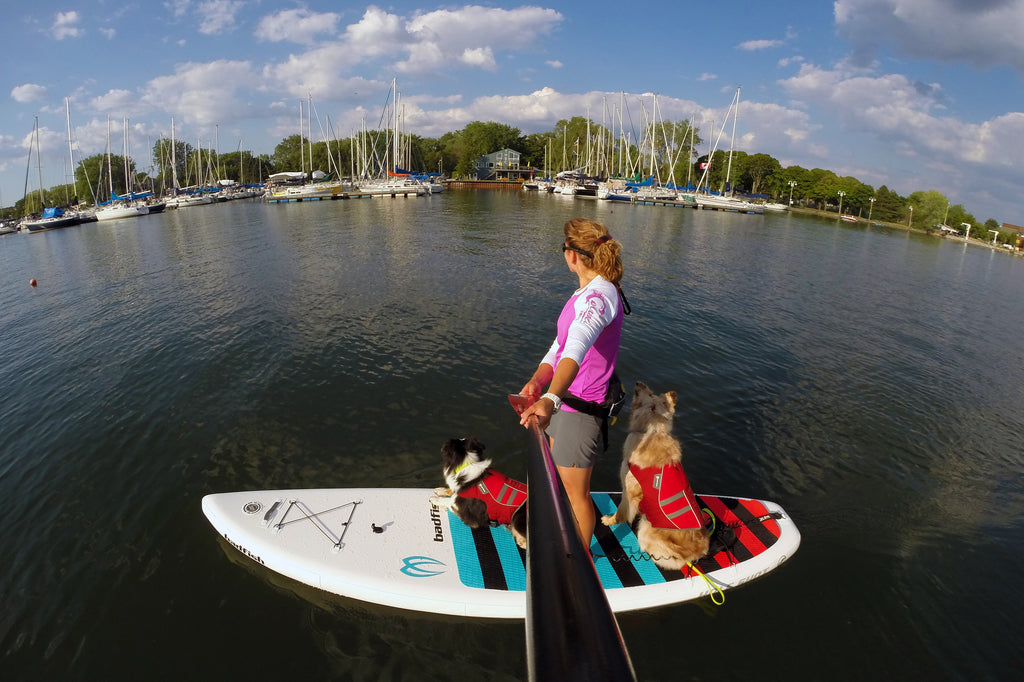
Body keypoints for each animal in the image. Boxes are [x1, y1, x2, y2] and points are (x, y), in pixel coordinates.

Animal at [602, 382, 708, 569]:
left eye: (650, 393)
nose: (638, 383)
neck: (651, 431)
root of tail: (697, 552)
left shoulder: (628, 491)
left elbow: (621, 513)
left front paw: (609, 520)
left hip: (645, 529)